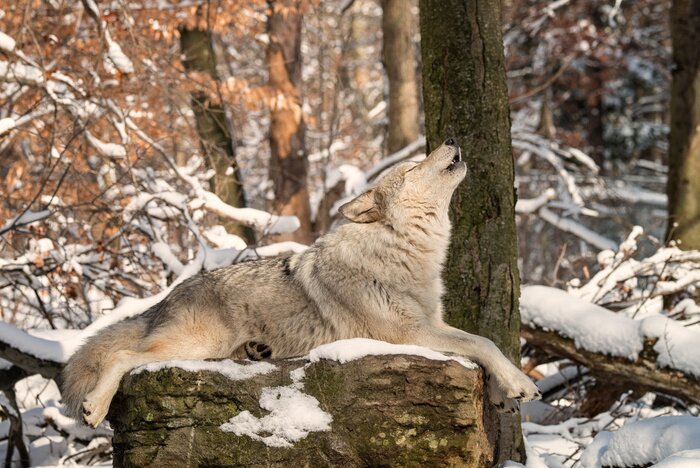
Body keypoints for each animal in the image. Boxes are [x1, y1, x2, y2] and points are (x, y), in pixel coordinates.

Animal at [62, 139, 540, 428]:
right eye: (412, 166)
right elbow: (482, 342)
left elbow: (479, 341)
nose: (452, 141)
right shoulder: (411, 334)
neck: (403, 249)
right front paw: (519, 383)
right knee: (123, 356)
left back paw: (256, 351)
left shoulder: (431, 323)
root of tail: (167, 296)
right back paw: (95, 407)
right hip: (198, 345)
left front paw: (502, 393)